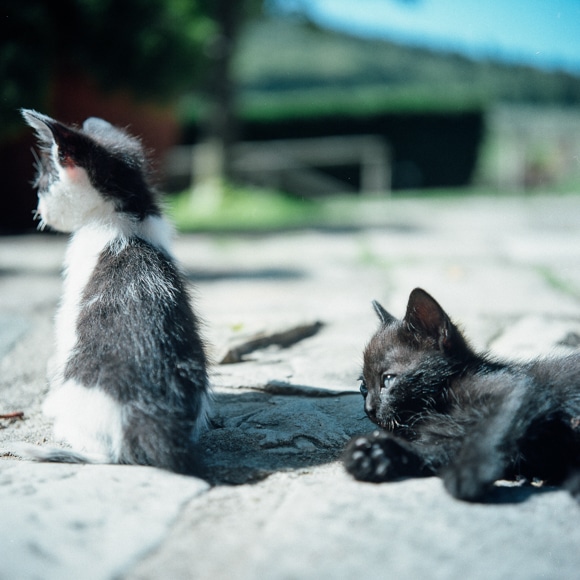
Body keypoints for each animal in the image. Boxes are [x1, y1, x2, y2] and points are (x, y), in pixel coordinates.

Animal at [342, 288, 580, 500]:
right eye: (363, 386)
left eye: (388, 379)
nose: (369, 409)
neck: (436, 405)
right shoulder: (442, 439)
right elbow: (433, 452)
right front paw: (376, 452)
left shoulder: (520, 389)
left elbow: (489, 432)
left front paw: (468, 474)